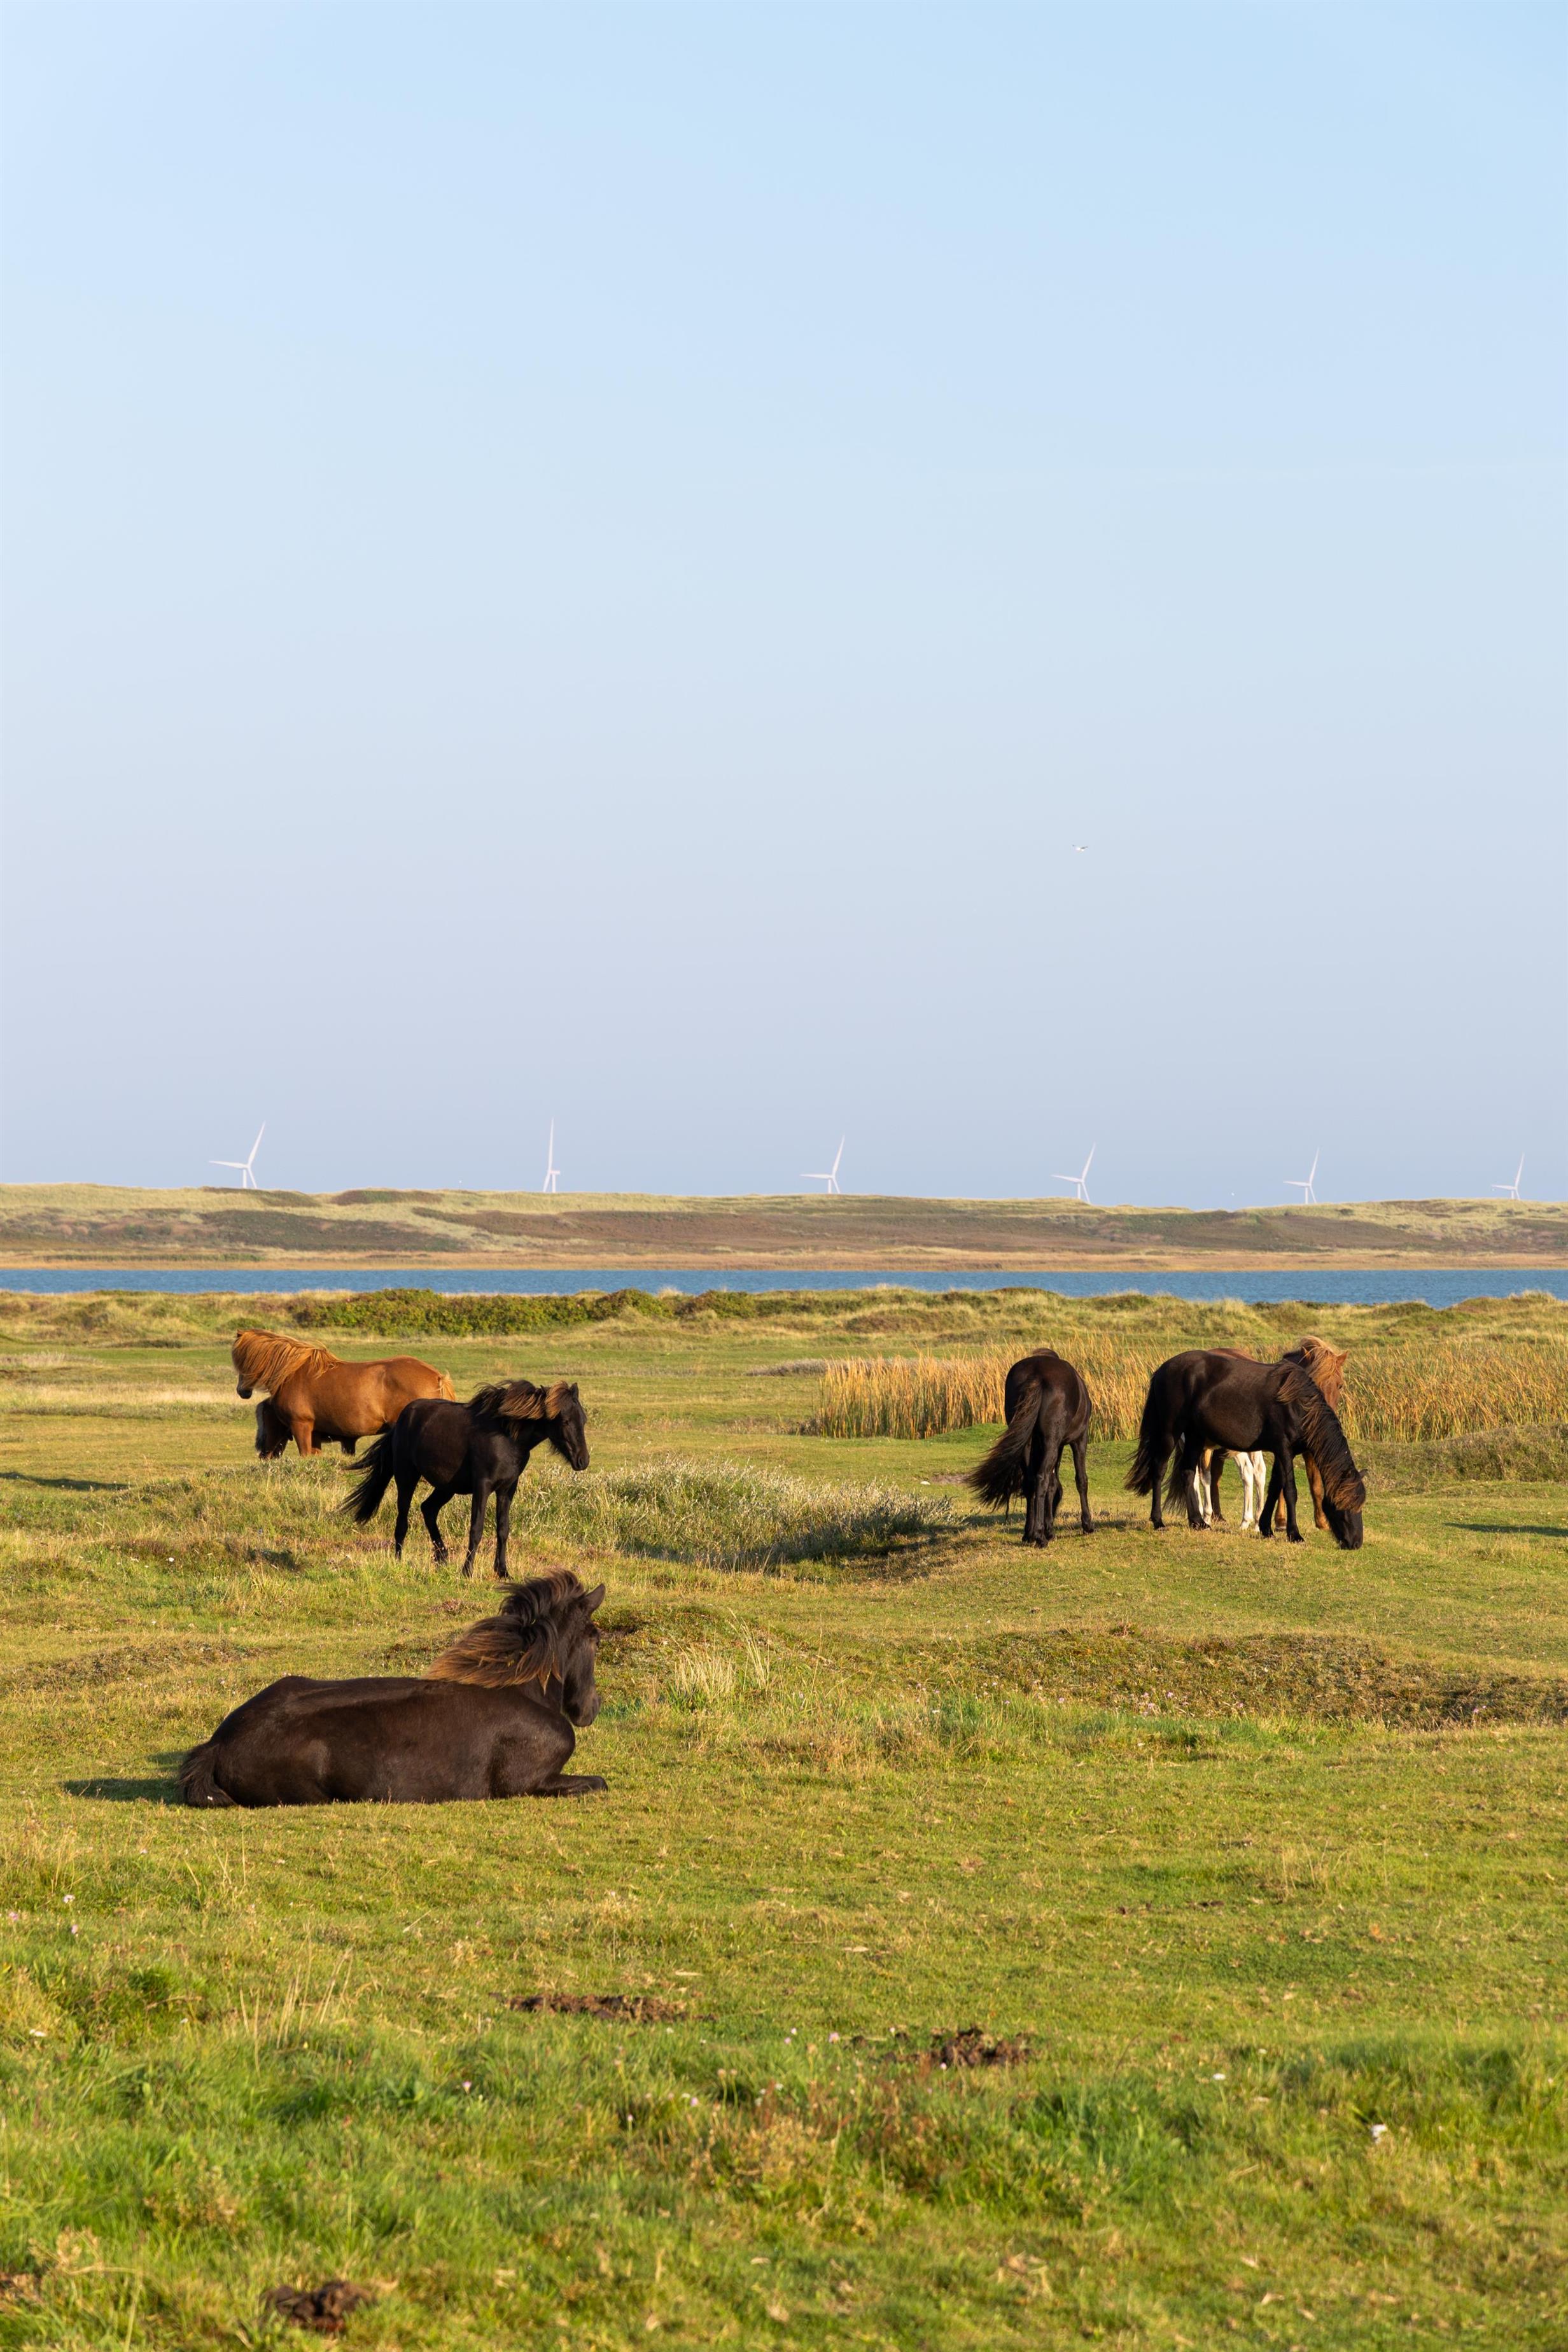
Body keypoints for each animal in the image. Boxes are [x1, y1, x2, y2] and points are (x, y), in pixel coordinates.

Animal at [179, 1570, 608, 1806]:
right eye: (596, 1638)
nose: (591, 1708)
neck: (519, 1689)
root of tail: (217, 1745)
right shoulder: (532, 1784)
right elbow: (597, 1783)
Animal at [233, 1329, 455, 1459]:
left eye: (240, 1361)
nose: (242, 1391)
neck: (292, 1373)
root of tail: (436, 1376)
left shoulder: (301, 1426)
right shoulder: (315, 1434)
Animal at [342, 1380, 589, 1578]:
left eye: (584, 1420)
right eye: (565, 1421)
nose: (583, 1460)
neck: (508, 1437)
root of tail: (402, 1420)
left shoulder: (507, 1489)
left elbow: (503, 1529)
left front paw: (502, 1571)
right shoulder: (483, 1487)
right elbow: (476, 1529)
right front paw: (467, 1571)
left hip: (446, 1488)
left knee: (428, 1509)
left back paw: (442, 1557)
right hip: (407, 1479)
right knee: (403, 1520)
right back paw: (399, 1561)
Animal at [965, 1349, 1094, 1545]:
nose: (1051, 1526)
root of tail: (1036, 1374)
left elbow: (1051, 1483)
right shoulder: (1079, 1439)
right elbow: (1081, 1480)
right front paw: (1087, 1525)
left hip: (1027, 1443)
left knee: (1030, 1481)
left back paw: (1029, 1534)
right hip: (1051, 1441)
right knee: (1041, 1479)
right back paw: (1039, 1536)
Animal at [1126, 1351, 1364, 1548]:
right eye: (1343, 1504)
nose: (1355, 1543)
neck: (1297, 1403)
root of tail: (1162, 1369)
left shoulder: (1282, 1452)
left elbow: (1274, 1488)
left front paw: (1266, 1528)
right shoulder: (1284, 1450)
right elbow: (1290, 1491)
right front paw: (1294, 1534)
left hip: (1195, 1438)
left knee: (1187, 1472)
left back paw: (1197, 1521)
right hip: (1170, 1433)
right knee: (1159, 1470)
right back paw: (1158, 1521)